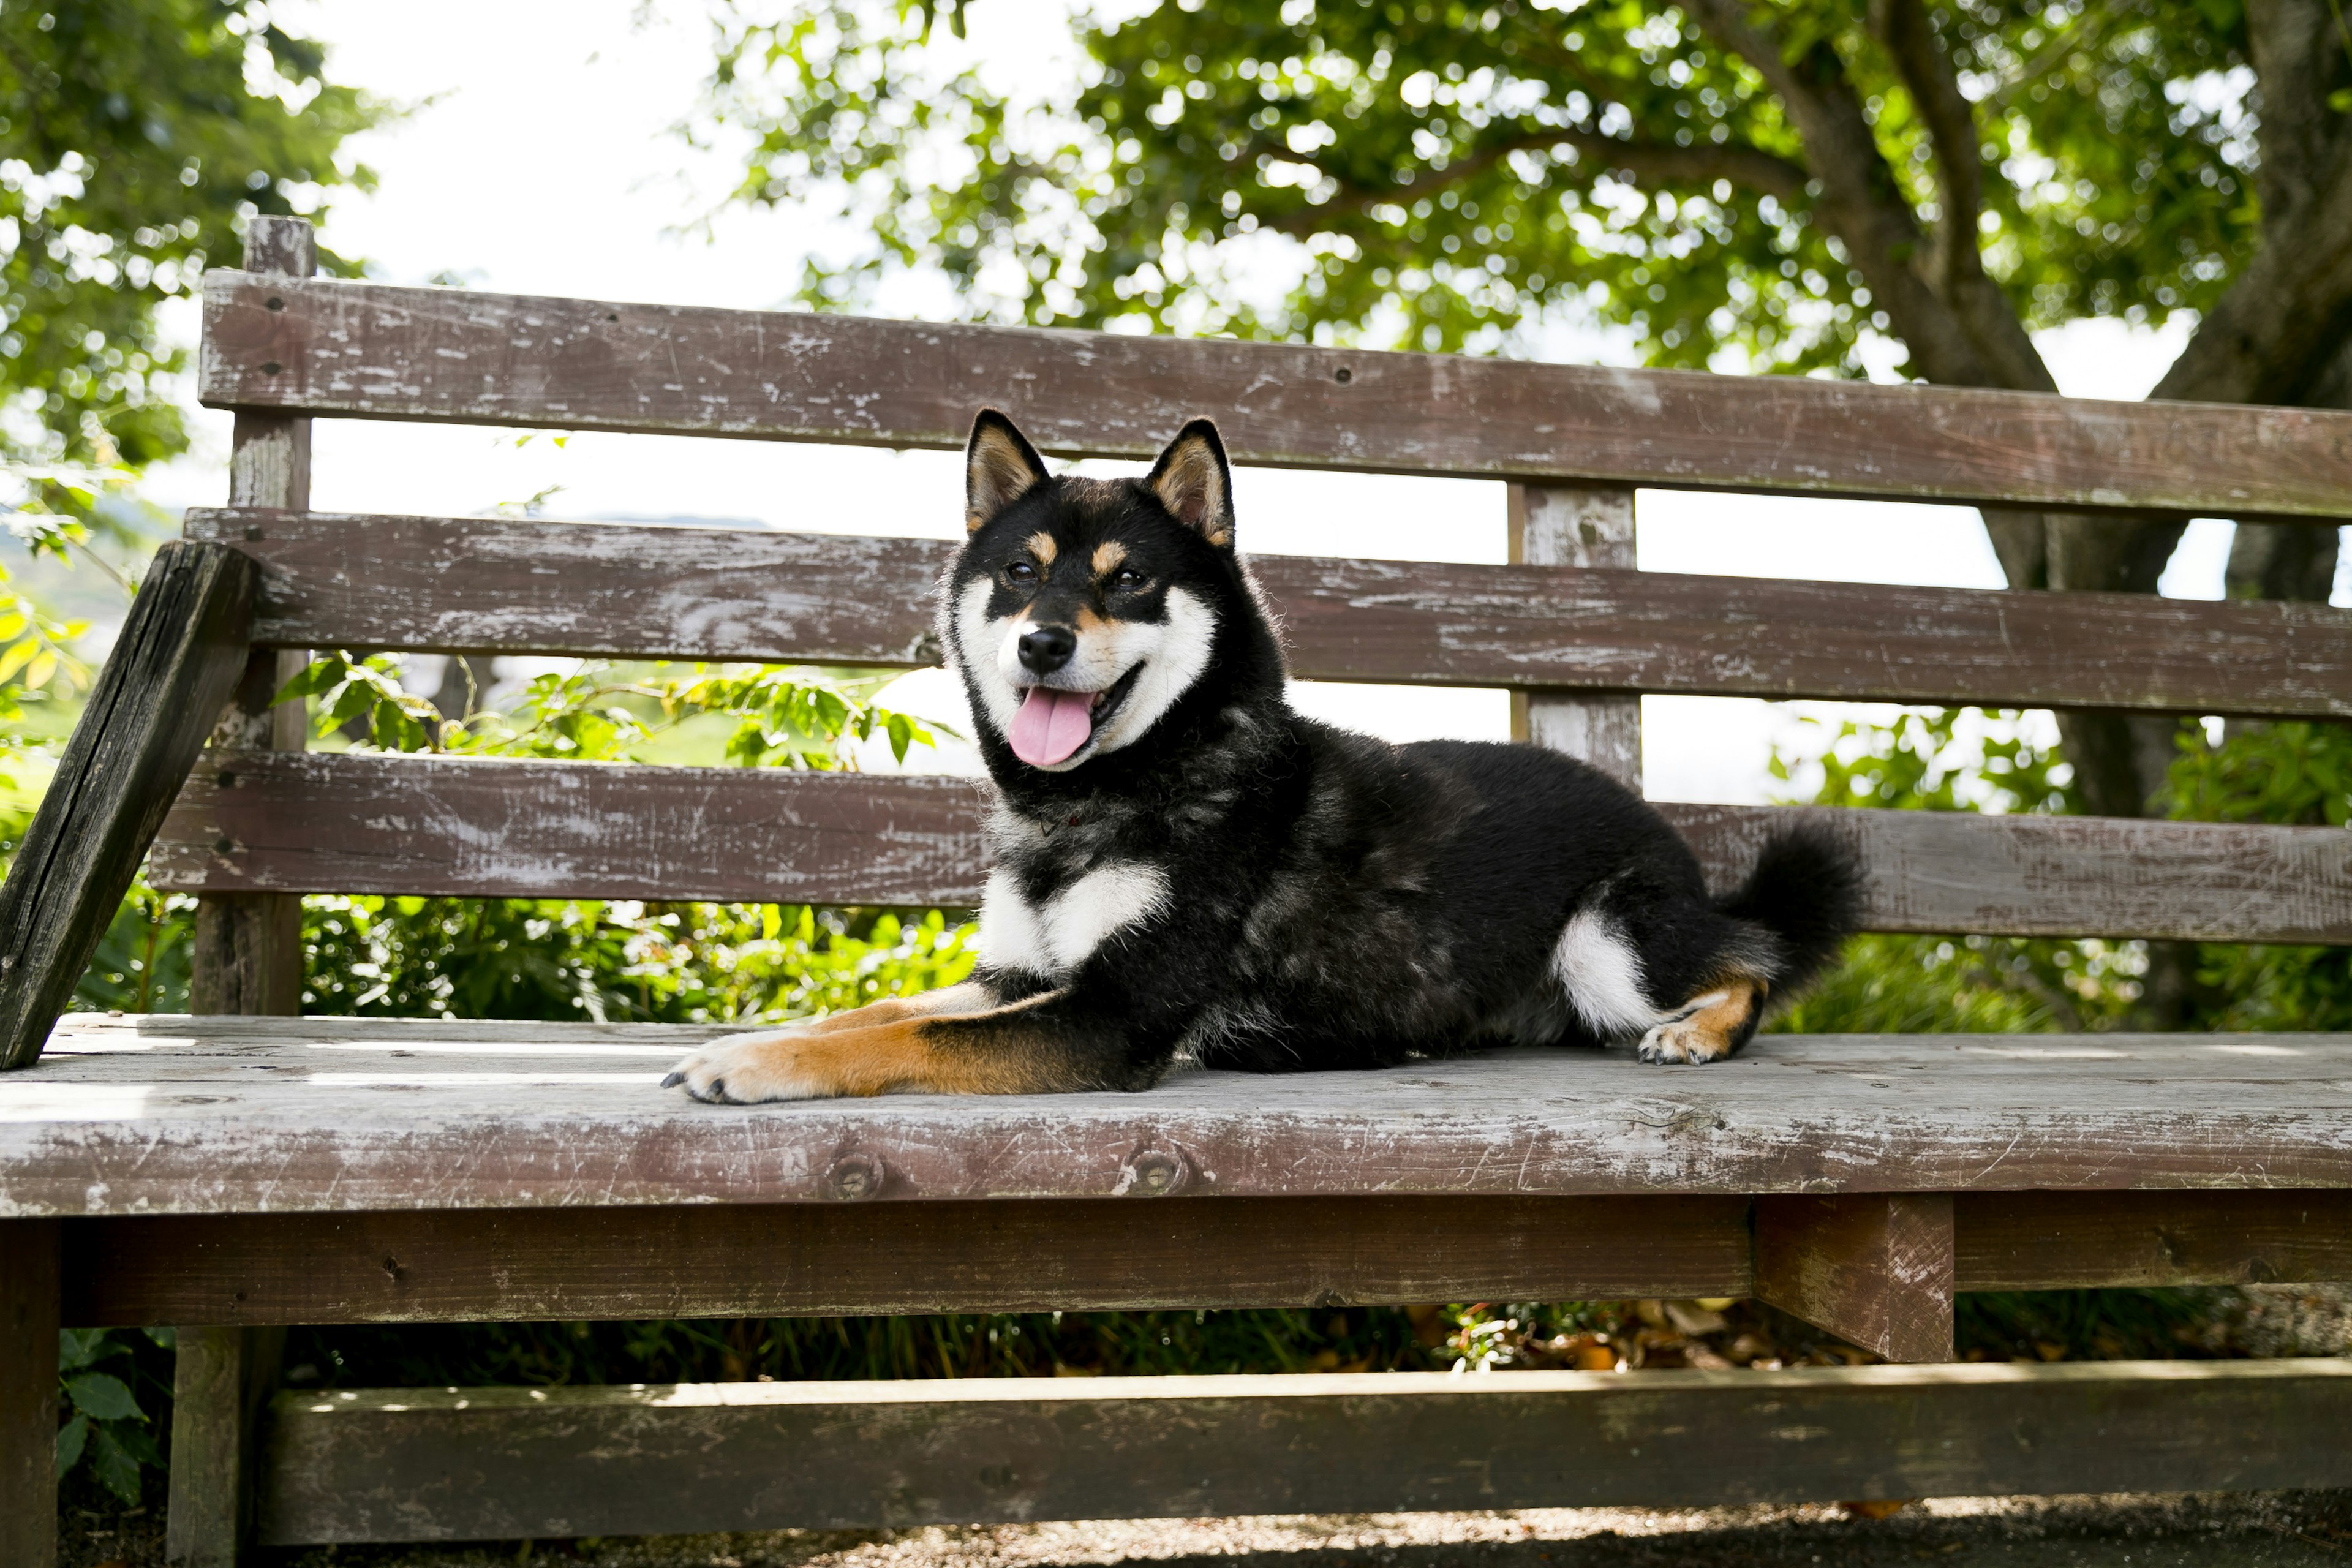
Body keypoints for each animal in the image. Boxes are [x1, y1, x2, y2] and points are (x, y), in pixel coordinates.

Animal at [673, 416, 1863, 1104]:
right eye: (1021, 571)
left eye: (1129, 580)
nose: (1042, 643)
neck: (1122, 787)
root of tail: (1665, 833)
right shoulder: (1022, 976)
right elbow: (879, 1014)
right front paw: (758, 1036)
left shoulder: (1115, 1013)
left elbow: (908, 1040)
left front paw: (755, 1065)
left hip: (1607, 944)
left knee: (1751, 968)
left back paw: (1698, 1035)